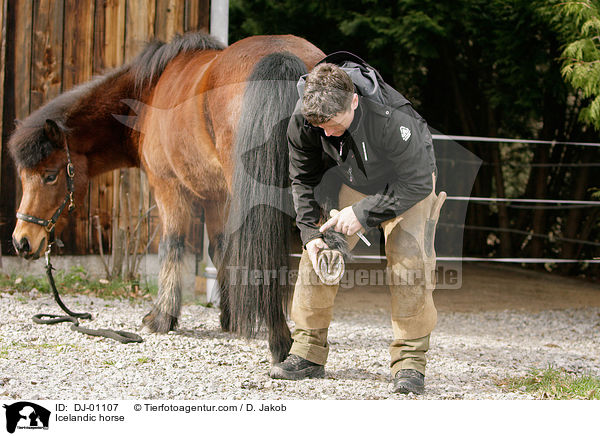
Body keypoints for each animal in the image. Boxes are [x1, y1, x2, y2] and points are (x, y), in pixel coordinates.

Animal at [7, 32, 326, 362]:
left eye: (50, 175)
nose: (22, 241)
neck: (147, 95)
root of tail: (281, 57)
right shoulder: (215, 198)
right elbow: (220, 250)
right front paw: (230, 318)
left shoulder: (168, 187)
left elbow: (171, 246)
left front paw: (161, 317)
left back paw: (281, 345)